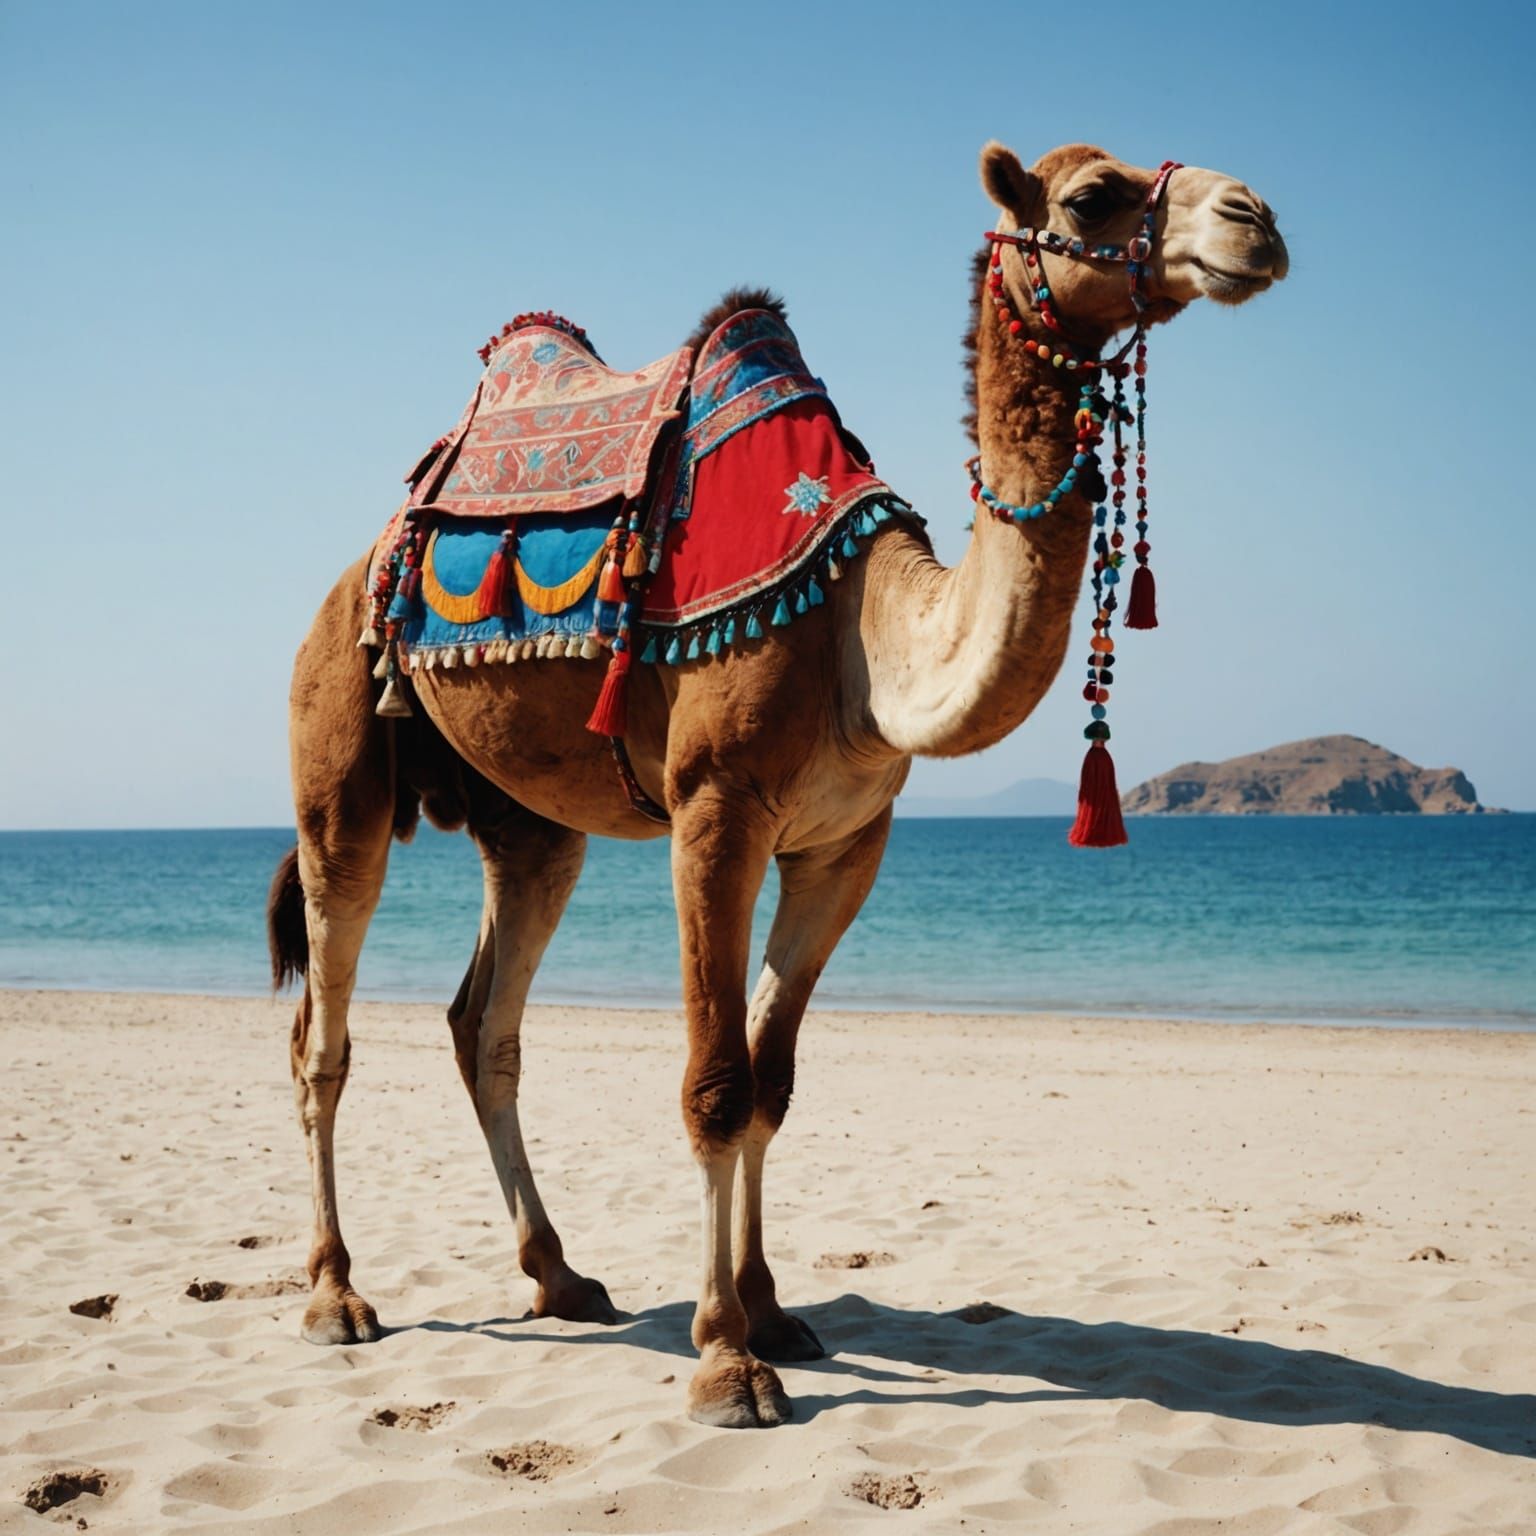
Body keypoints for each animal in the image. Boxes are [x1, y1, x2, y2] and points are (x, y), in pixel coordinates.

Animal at [266, 141, 1287, 1428]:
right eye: (1090, 197)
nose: (1255, 220)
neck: (866, 639)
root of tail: (360, 561)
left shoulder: (845, 845)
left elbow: (773, 1080)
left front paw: (772, 1312)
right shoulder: (717, 811)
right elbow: (715, 1083)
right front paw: (724, 1358)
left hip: (532, 828)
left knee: (483, 1021)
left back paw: (560, 1276)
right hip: (339, 764)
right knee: (324, 1030)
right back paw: (335, 1295)